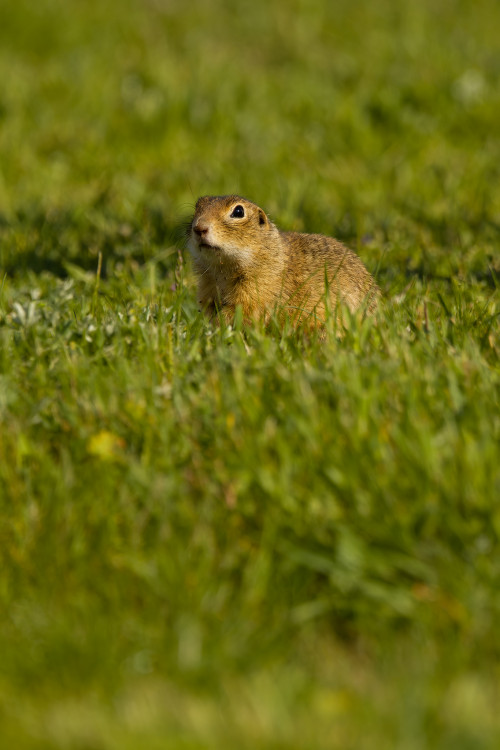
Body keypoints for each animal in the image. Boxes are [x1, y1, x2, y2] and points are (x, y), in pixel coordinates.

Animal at [187, 195, 378, 328]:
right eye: (197, 206)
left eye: (238, 212)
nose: (199, 228)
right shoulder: (207, 287)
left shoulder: (258, 290)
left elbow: (244, 311)